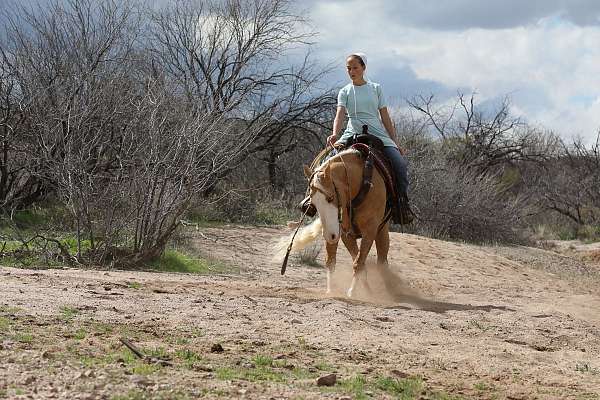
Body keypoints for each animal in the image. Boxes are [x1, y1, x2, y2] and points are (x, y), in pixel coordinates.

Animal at [296, 147, 390, 296]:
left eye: (330, 197)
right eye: (314, 203)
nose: (329, 236)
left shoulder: (370, 230)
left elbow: (359, 260)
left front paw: (352, 290)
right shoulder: (343, 231)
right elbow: (333, 260)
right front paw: (331, 289)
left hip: (382, 230)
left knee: (382, 259)